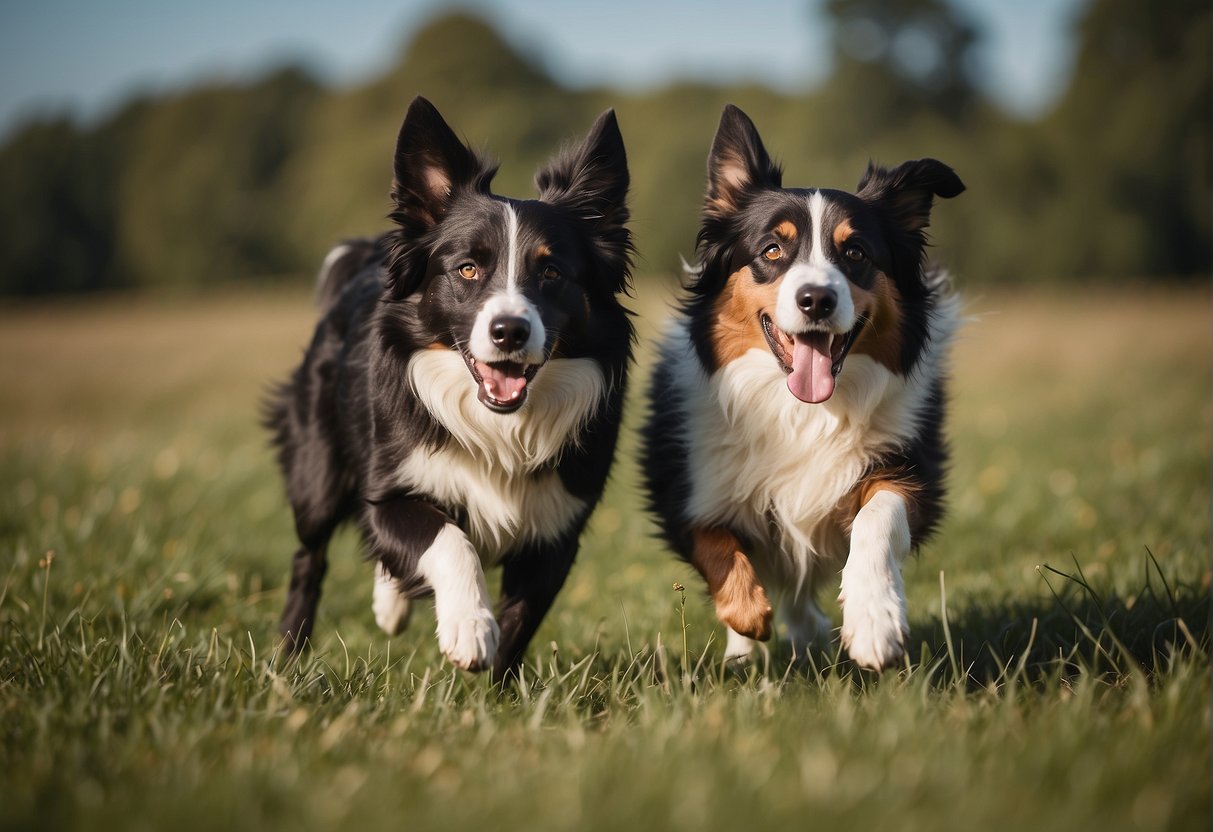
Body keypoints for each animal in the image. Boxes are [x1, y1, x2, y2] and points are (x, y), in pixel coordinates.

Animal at [268, 99, 635, 684]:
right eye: (467, 268)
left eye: (552, 272)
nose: (510, 331)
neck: (500, 425)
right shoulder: (388, 494)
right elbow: (450, 538)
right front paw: (468, 626)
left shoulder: (556, 531)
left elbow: (520, 620)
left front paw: (495, 690)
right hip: (317, 474)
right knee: (309, 557)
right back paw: (289, 657)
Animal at [640, 107, 960, 674]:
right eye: (772, 249)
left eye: (855, 252)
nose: (816, 299)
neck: (804, 411)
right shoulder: (686, 490)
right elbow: (716, 546)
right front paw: (748, 616)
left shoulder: (909, 469)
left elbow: (877, 520)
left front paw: (874, 621)